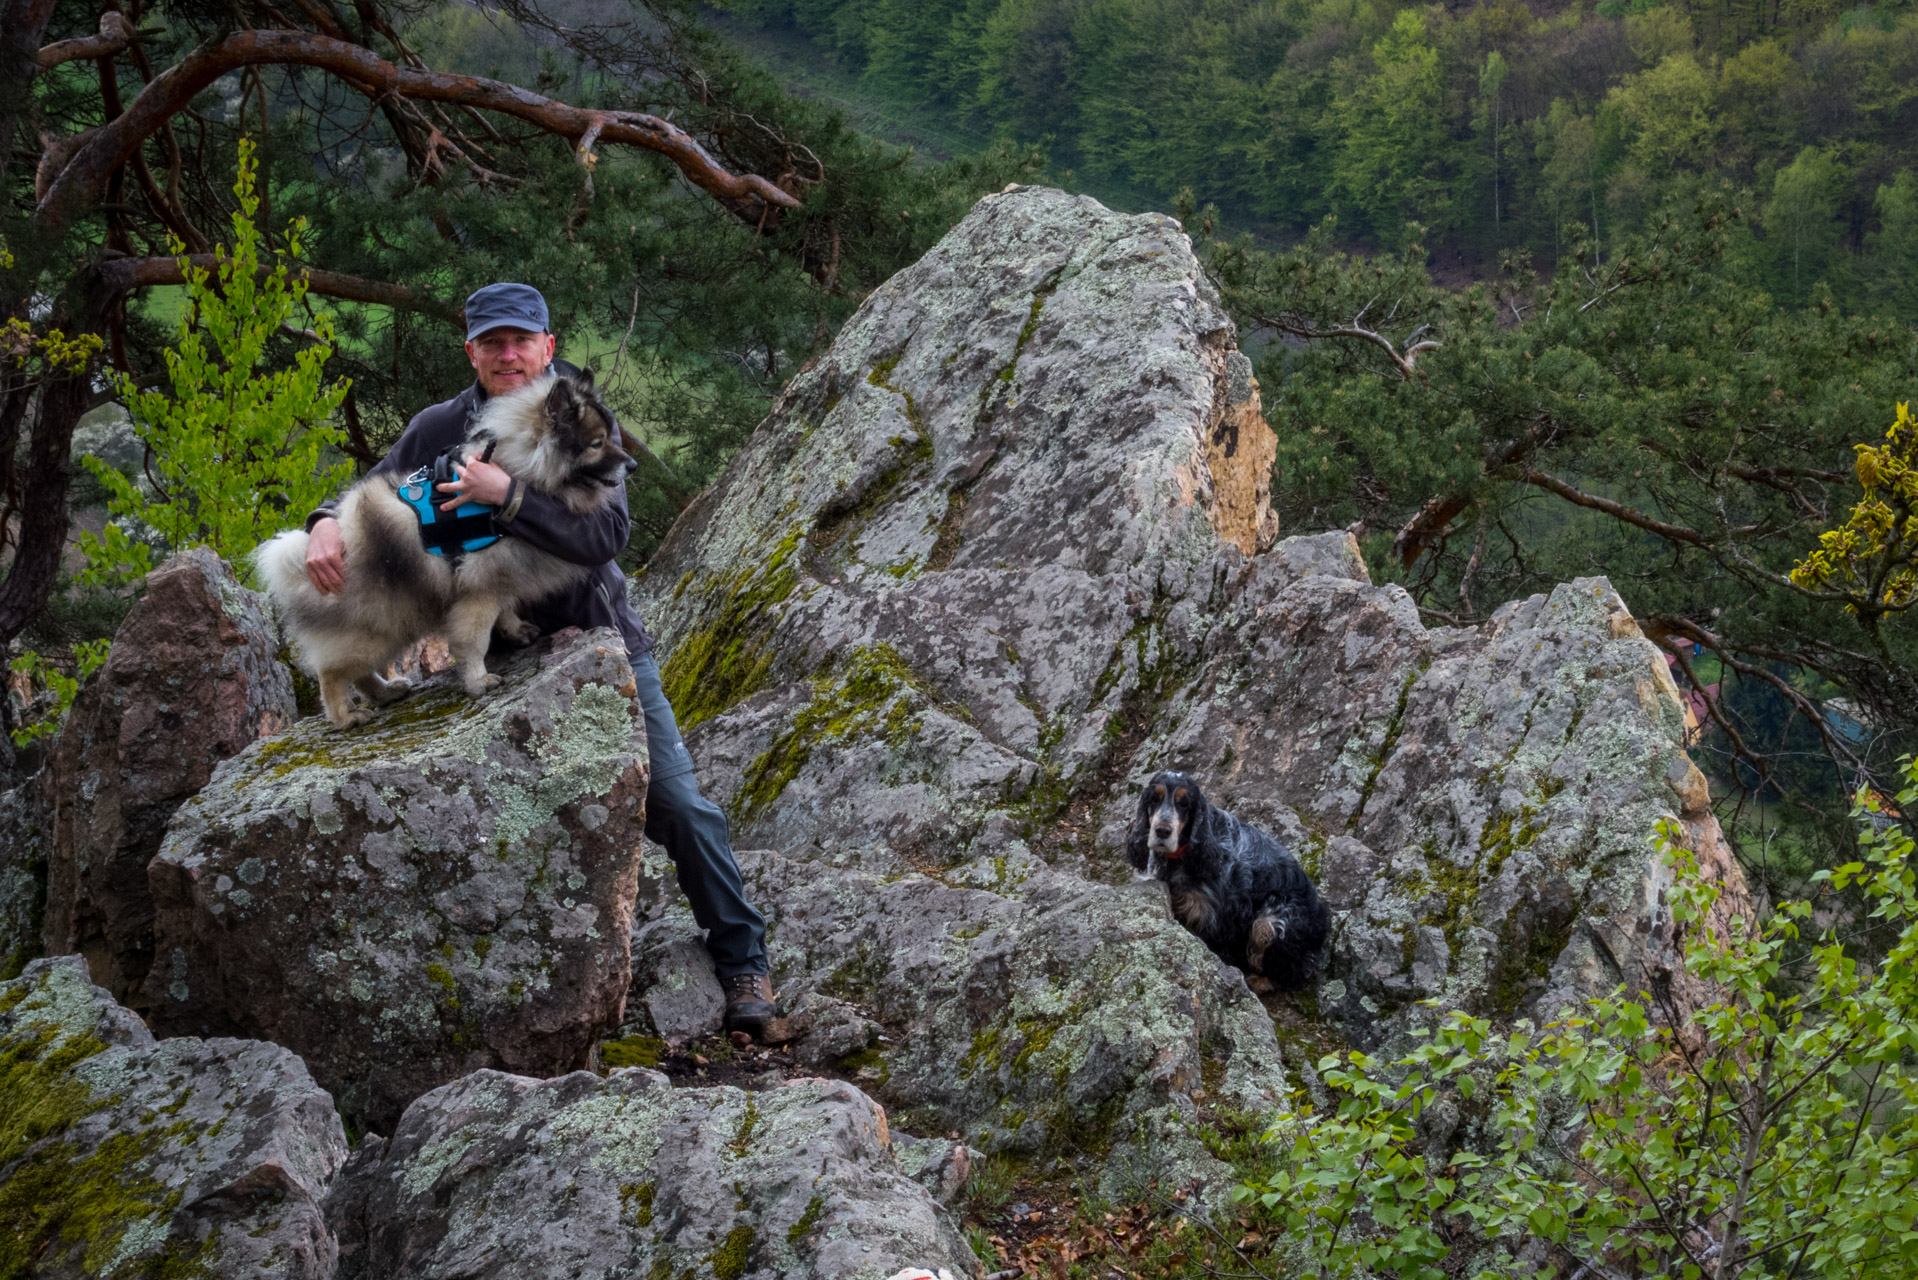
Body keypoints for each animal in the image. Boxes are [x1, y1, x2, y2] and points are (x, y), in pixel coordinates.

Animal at [253, 370, 629, 729]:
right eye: (597, 444)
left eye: (609, 438)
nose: (633, 464)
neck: (518, 468)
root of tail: (303, 564)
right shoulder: (477, 592)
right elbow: (474, 641)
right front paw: (478, 680)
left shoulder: (498, 575)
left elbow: (505, 609)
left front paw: (516, 630)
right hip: (377, 626)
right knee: (333, 674)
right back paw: (346, 716)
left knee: (359, 674)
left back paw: (386, 693)